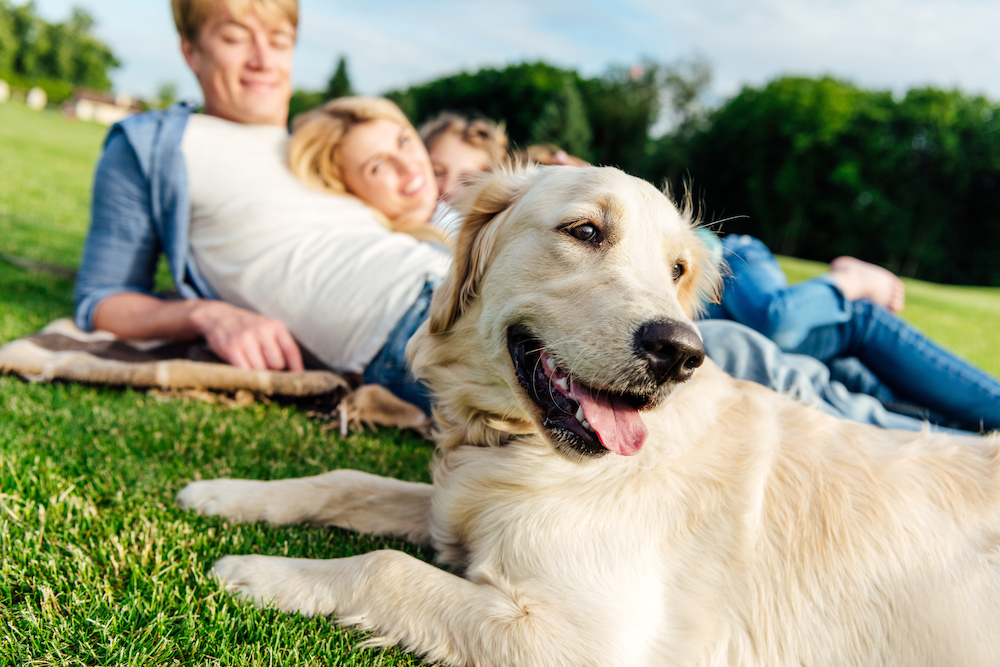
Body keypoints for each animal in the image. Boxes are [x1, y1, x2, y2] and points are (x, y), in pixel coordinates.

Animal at [178, 167, 1000, 667]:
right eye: (583, 231)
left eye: (677, 269)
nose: (680, 351)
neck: (518, 446)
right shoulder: (456, 506)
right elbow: (349, 480)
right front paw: (224, 494)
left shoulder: (584, 637)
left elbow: (386, 568)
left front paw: (254, 568)